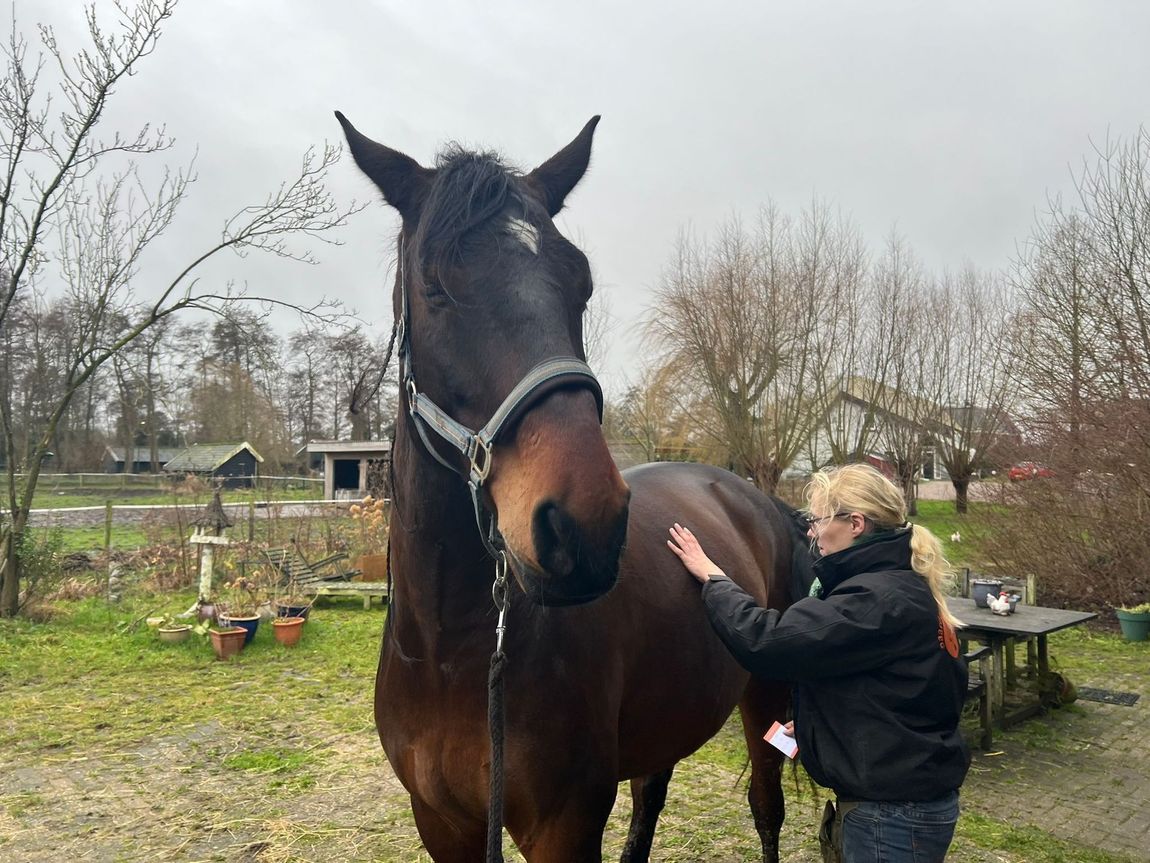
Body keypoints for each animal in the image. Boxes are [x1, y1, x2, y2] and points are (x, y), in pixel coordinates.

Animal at [336, 112, 811, 862]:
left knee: (766, 810)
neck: (452, 652)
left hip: (766, 700)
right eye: (434, 286)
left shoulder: (566, 823)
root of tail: (757, 500)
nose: (582, 526)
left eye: (580, 284)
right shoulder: (441, 822)